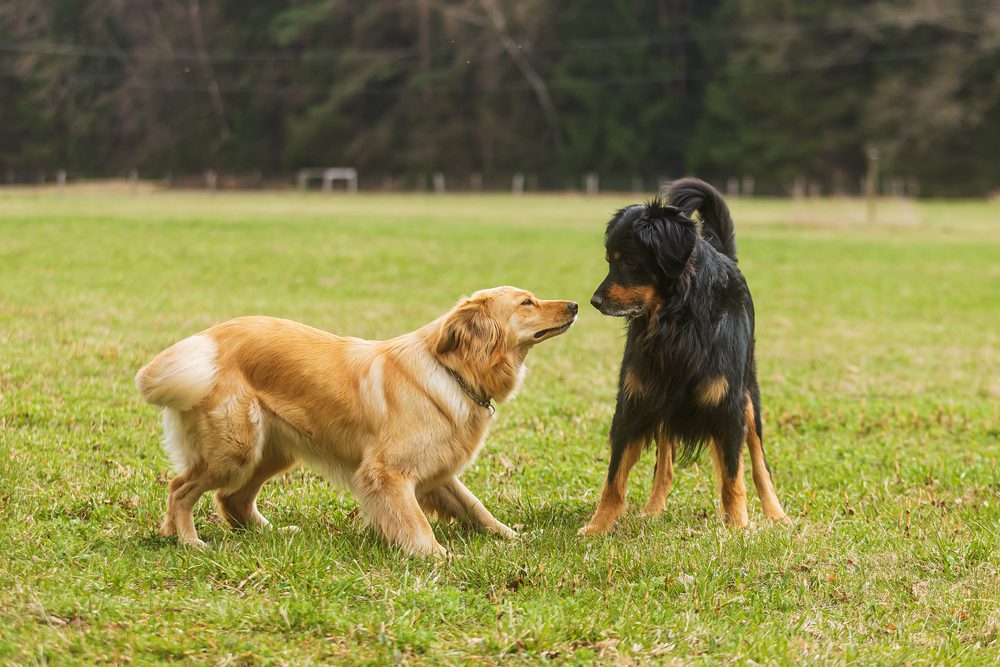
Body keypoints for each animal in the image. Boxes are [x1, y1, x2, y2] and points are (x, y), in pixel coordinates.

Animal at [135, 288, 580, 560]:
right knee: (180, 489)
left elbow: (477, 508)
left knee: (232, 499)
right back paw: (188, 540)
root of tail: (206, 342)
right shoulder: (386, 474)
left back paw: (269, 533)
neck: (452, 369)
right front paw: (434, 554)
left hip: (270, 452)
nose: (575, 305)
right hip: (236, 450)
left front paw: (514, 537)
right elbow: (415, 522)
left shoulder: (437, 472)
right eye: (526, 302)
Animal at [580, 179, 788, 536]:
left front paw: (737, 528)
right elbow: (614, 478)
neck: (678, 321)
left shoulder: (727, 406)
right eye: (609, 260)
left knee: (759, 462)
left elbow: (733, 477)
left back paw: (776, 514)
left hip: (750, 394)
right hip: (664, 401)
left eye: (630, 262)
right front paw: (598, 527)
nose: (594, 301)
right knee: (665, 463)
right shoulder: (634, 401)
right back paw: (652, 509)